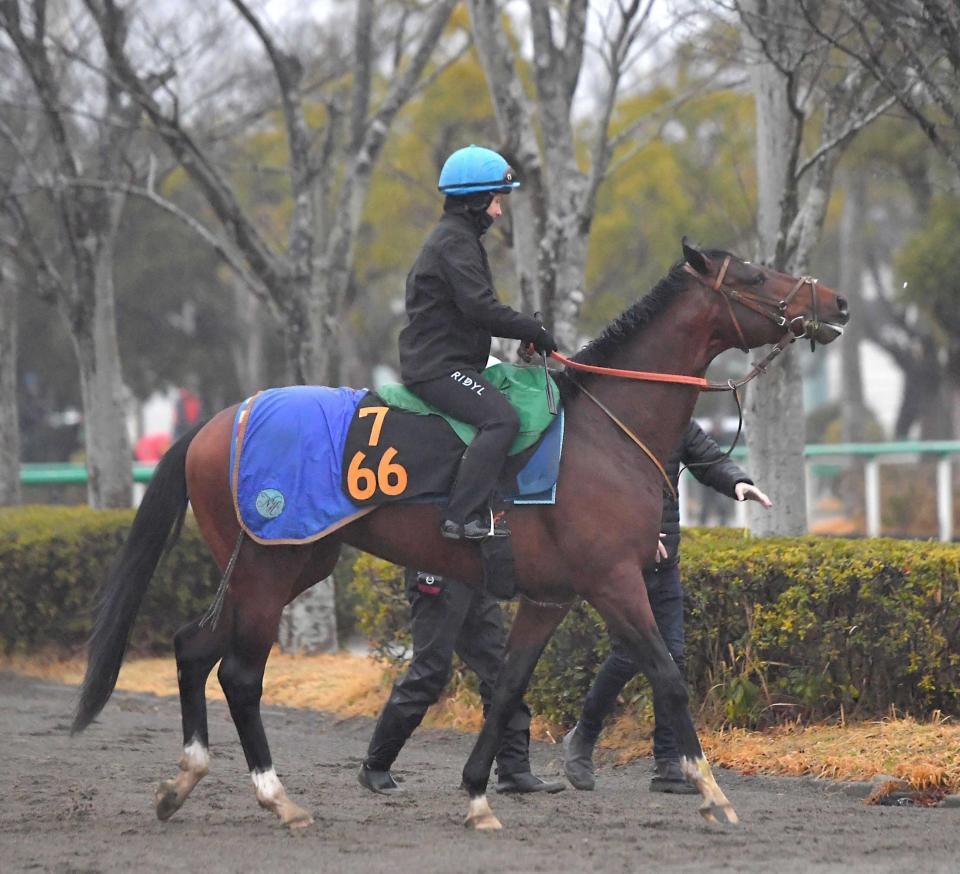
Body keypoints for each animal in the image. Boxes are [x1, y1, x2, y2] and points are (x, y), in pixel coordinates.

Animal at [73, 238, 848, 832]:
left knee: (192, 647)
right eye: (754, 275)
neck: (604, 432)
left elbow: (507, 687)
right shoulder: (614, 581)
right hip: (270, 567)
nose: (835, 303)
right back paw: (277, 797)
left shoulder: (550, 597)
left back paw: (183, 781)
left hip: (288, 563)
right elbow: (666, 673)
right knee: (237, 672)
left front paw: (479, 794)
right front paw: (712, 791)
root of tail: (213, 424)